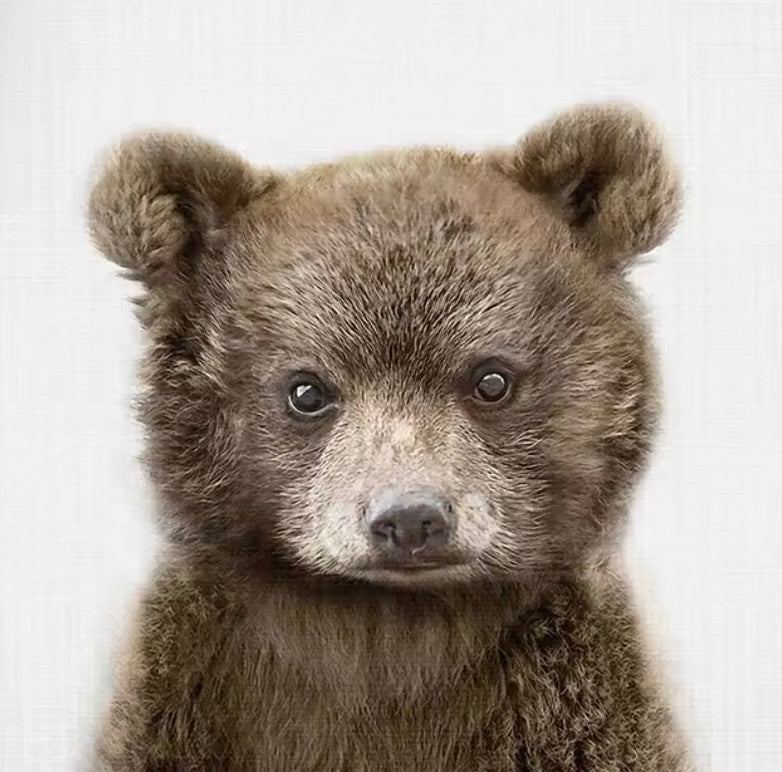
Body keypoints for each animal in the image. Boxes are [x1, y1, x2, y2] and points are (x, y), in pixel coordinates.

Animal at [86, 102, 692, 772]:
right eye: (307, 390)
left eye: (491, 379)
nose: (409, 518)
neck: (386, 629)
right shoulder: (190, 698)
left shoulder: (571, 705)